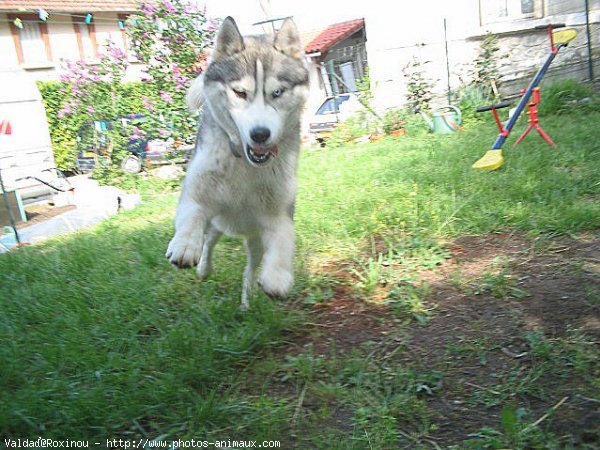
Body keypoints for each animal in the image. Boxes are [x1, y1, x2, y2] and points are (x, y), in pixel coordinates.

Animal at [168, 16, 312, 310]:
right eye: (240, 93)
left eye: (277, 92)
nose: (260, 134)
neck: (245, 165)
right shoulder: (197, 193)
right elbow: (191, 215)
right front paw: (185, 245)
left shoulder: (278, 211)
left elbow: (284, 239)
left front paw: (278, 277)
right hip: (216, 223)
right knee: (209, 243)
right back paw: (204, 268)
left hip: (254, 239)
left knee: (251, 267)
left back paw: (247, 299)